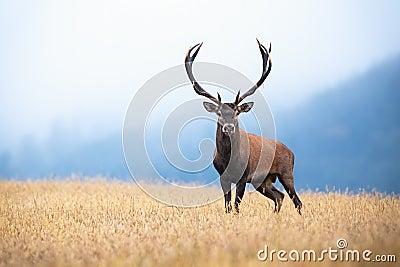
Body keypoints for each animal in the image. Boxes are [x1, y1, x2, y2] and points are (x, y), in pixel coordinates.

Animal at [186, 39, 302, 216]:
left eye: (236, 113)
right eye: (219, 113)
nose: (228, 128)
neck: (229, 160)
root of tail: (292, 152)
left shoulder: (243, 177)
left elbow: (236, 205)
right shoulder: (223, 177)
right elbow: (227, 205)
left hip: (286, 172)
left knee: (297, 201)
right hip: (262, 181)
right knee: (279, 196)